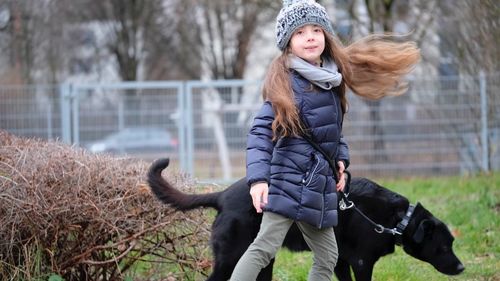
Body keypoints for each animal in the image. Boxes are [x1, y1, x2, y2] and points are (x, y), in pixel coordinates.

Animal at [149, 159, 464, 278]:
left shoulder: (340, 262)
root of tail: (222, 195)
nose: (462, 268)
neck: (396, 219)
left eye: (451, 244)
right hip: (231, 258)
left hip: (264, 259)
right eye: (443, 246)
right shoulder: (362, 262)